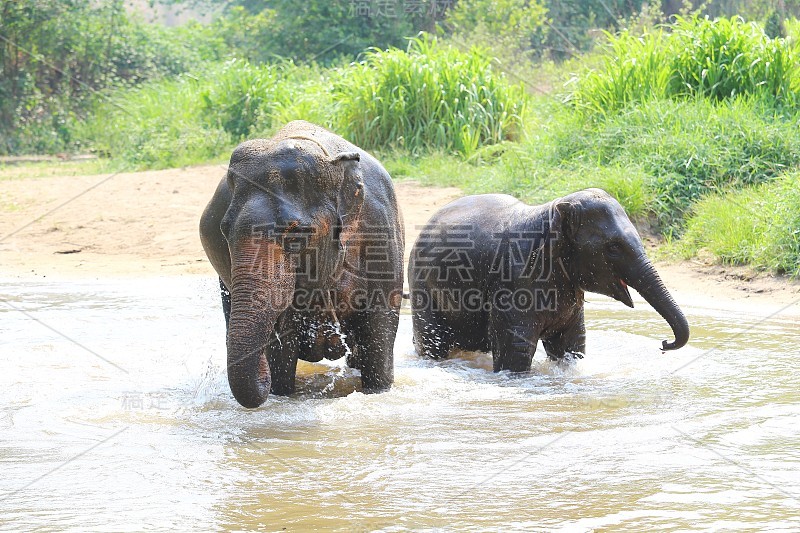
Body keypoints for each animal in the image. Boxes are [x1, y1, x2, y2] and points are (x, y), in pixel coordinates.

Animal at [198, 120, 404, 406]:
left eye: (296, 235)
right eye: (224, 231)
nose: (262, 375)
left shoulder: (381, 236)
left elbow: (378, 331)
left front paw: (377, 392)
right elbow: (282, 346)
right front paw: (280, 391)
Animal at [410, 189, 692, 372]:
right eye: (613, 248)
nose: (664, 344)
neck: (551, 212)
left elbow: (570, 344)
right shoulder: (514, 284)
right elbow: (515, 352)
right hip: (421, 286)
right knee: (433, 342)